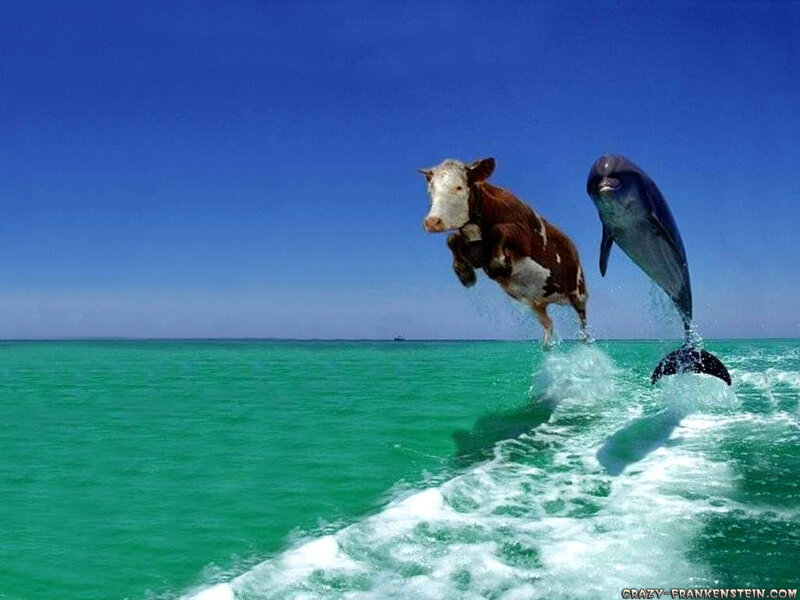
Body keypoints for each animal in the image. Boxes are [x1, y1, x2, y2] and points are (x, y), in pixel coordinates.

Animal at [419, 157, 588, 345]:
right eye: (430, 190)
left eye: (459, 187)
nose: (432, 222)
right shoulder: (476, 253)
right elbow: (451, 239)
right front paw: (465, 274)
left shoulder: (524, 237)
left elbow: (499, 230)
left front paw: (500, 265)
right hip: (537, 303)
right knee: (548, 324)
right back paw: (546, 345)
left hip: (578, 291)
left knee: (583, 321)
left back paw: (585, 340)